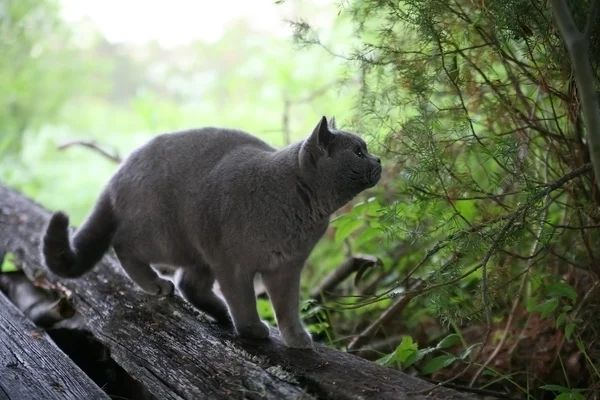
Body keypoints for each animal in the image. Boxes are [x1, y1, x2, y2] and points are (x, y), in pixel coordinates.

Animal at [42, 115, 382, 346]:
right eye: (358, 151)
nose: (378, 158)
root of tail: (115, 176)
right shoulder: (233, 265)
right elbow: (243, 300)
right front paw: (251, 328)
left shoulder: (286, 267)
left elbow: (287, 307)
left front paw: (296, 338)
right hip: (167, 238)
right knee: (124, 247)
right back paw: (157, 285)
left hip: (199, 250)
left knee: (189, 284)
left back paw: (219, 314)